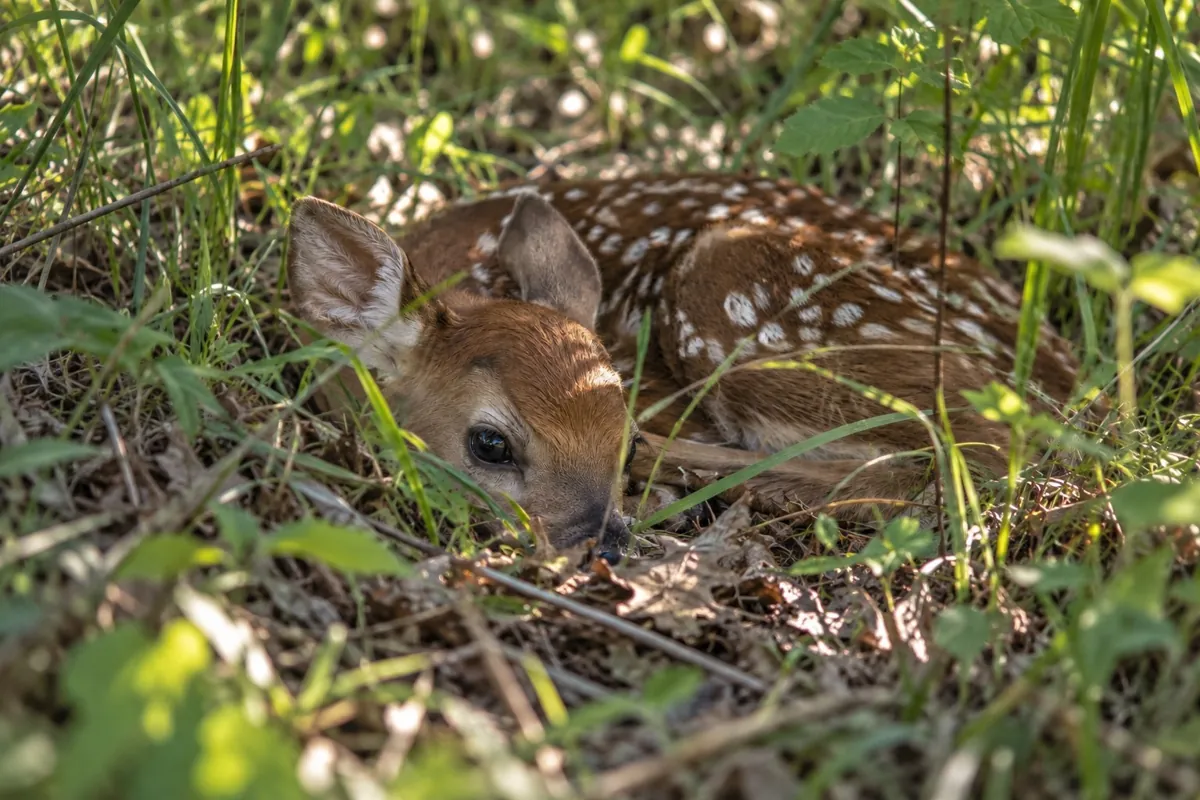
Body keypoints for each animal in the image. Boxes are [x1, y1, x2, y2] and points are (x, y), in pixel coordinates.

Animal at [284, 172, 1088, 564]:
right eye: (489, 444)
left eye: (625, 438)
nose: (602, 546)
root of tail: (1068, 393)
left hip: (733, 286)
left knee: (951, 459)